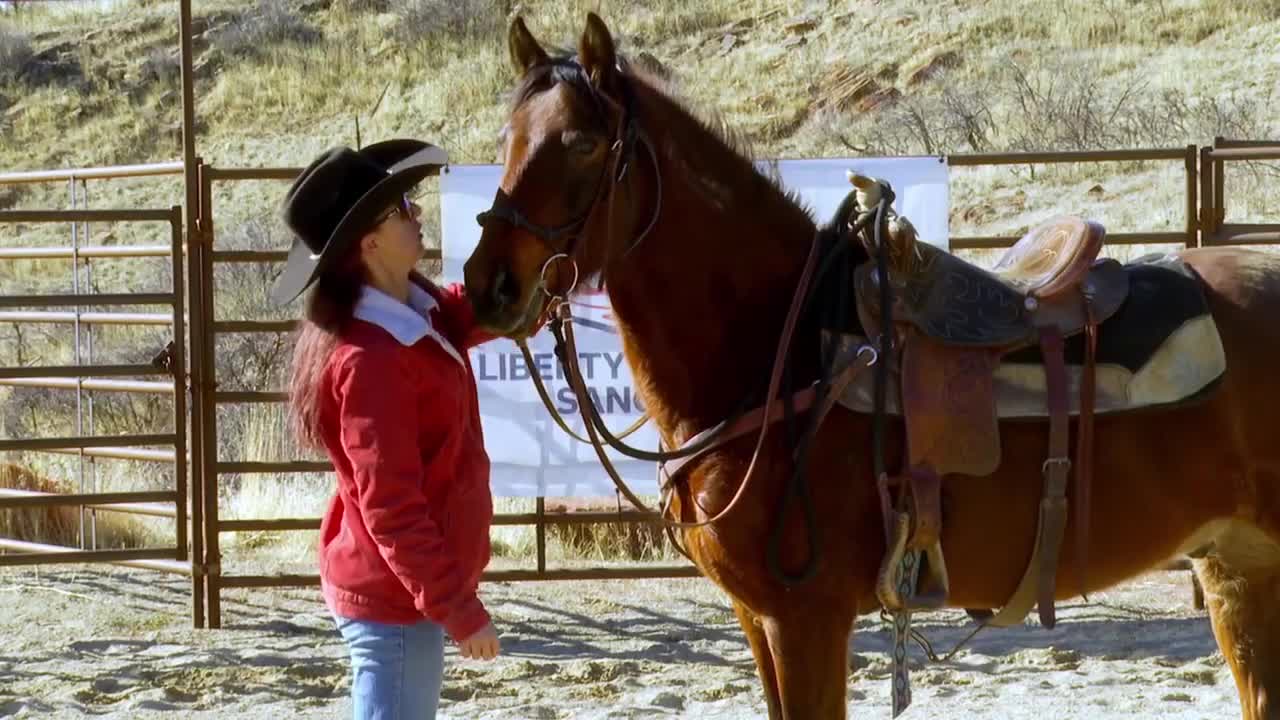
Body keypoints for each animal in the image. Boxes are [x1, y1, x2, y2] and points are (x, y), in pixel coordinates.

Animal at [462, 13, 1280, 720]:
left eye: (582, 145)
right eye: (507, 138)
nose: (488, 284)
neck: (782, 350)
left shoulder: (806, 620)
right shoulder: (758, 621)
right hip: (1237, 567)